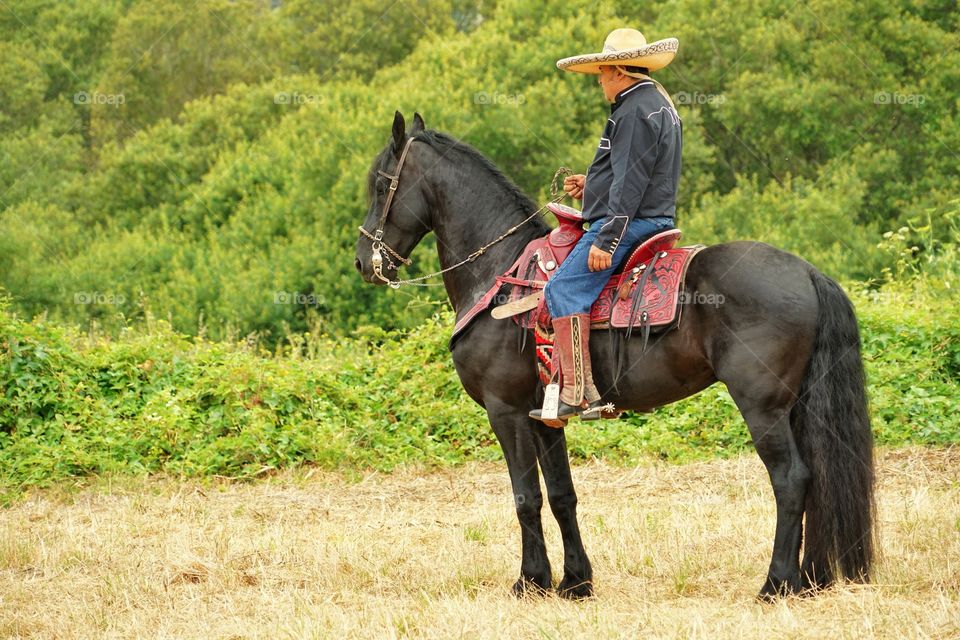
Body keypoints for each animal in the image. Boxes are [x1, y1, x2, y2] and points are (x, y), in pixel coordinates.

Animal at [356, 111, 872, 600]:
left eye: (381, 183)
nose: (364, 261)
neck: (501, 275)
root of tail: (807, 272)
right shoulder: (544, 416)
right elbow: (561, 495)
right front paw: (574, 582)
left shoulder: (507, 411)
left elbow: (525, 497)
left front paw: (530, 582)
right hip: (798, 405)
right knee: (817, 478)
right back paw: (808, 578)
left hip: (762, 405)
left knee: (791, 480)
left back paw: (776, 583)